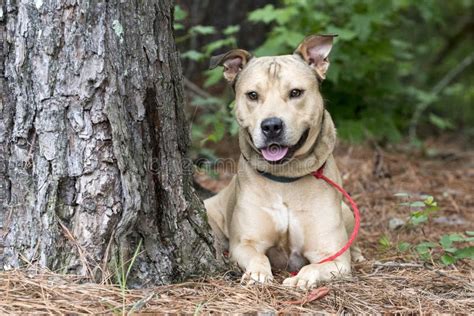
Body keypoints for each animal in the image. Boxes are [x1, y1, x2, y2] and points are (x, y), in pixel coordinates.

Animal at [204, 34, 362, 288]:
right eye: (252, 95)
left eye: (296, 92)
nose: (271, 126)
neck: (286, 178)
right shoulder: (245, 244)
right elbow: (257, 256)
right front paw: (258, 274)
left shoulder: (332, 256)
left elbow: (313, 266)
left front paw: (301, 279)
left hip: (346, 210)